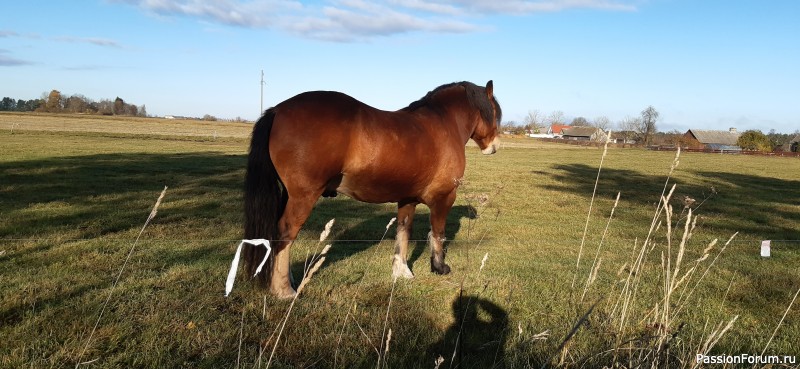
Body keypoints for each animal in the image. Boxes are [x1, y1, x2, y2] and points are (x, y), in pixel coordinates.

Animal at [247, 80, 504, 296]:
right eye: (495, 113)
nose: (495, 146)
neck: (444, 123)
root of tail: (277, 110)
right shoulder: (444, 197)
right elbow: (438, 232)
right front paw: (439, 267)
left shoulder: (407, 198)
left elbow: (403, 232)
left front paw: (401, 272)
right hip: (303, 197)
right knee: (285, 234)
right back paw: (284, 290)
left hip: (288, 195)